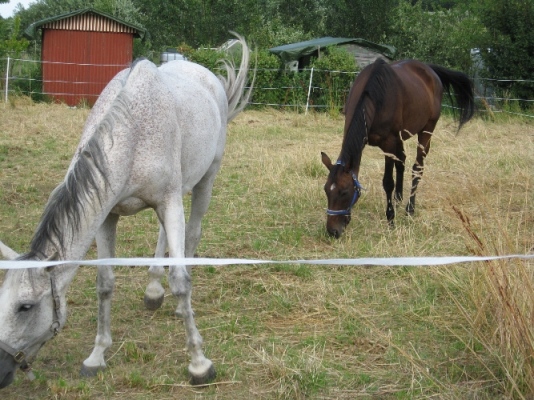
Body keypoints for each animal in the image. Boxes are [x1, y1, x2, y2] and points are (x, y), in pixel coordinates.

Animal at [0, 33, 253, 388]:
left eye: (25, 307)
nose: (1, 369)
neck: (133, 134)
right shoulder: (109, 215)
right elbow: (105, 283)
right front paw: (96, 356)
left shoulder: (169, 201)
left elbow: (181, 280)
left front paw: (199, 364)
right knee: (164, 236)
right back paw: (153, 290)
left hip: (205, 180)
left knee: (192, 233)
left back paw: (177, 305)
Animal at [321, 58, 475, 238]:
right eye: (326, 190)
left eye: (344, 192)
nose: (333, 231)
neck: (374, 97)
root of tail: (430, 70)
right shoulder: (393, 140)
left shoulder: (388, 144)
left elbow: (388, 182)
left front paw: (391, 219)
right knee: (402, 162)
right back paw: (399, 198)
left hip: (426, 131)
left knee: (417, 167)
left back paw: (410, 209)